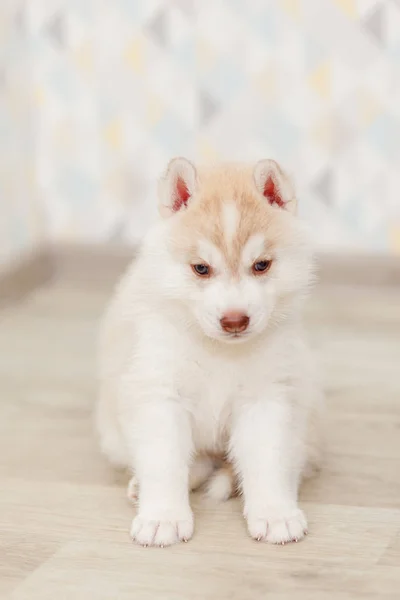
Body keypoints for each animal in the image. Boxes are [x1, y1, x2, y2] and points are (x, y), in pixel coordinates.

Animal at [96, 157, 322, 548]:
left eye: (261, 265)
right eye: (201, 268)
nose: (234, 320)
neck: (219, 352)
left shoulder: (266, 398)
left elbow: (268, 458)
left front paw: (275, 513)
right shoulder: (160, 394)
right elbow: (164, 460)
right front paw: (163, 517)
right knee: (192, 460)